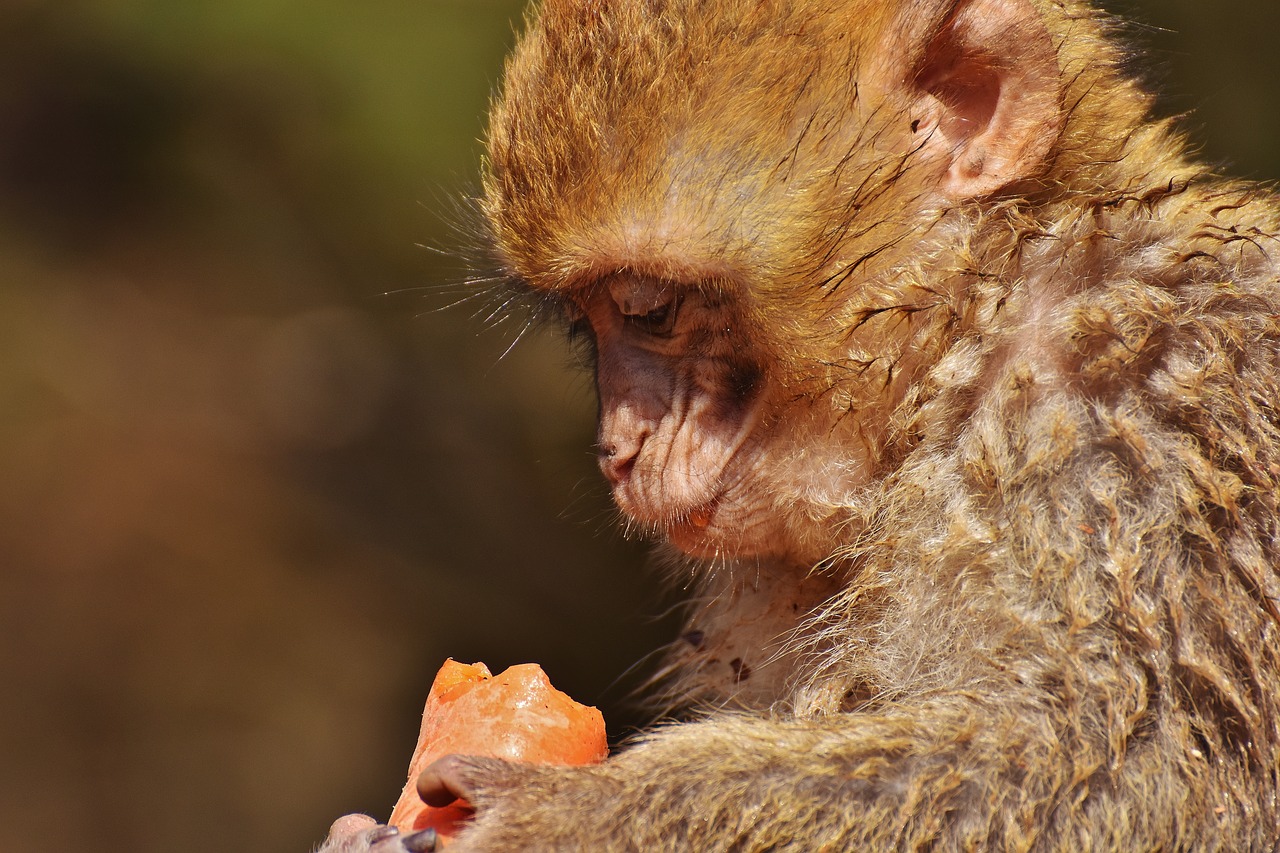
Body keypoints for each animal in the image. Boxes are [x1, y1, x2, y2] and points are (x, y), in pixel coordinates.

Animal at [320, 0, 1280, 845]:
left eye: (650, 309)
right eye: (585, 325)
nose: (618, 451)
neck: (971, 339)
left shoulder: (1144, 400)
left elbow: (1134, 770)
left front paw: (561, 818)